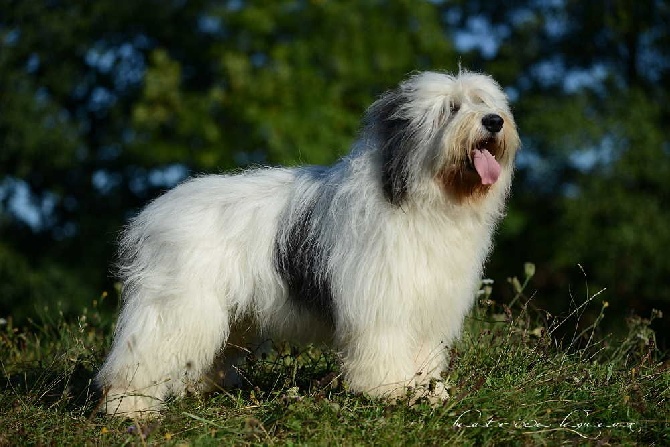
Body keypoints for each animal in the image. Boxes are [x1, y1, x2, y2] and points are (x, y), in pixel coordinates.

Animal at [97, 69, 524, 416]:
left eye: (484, 102)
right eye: (451, 108)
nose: (494, 121)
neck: (425, 203)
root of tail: (155, 212)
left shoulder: (429, 304)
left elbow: (423, 353)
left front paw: (427, 391)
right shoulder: (382, 301)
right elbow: (384, 346)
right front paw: (391, 389)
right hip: (178, 303)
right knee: (143, 352)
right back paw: (128, 407)